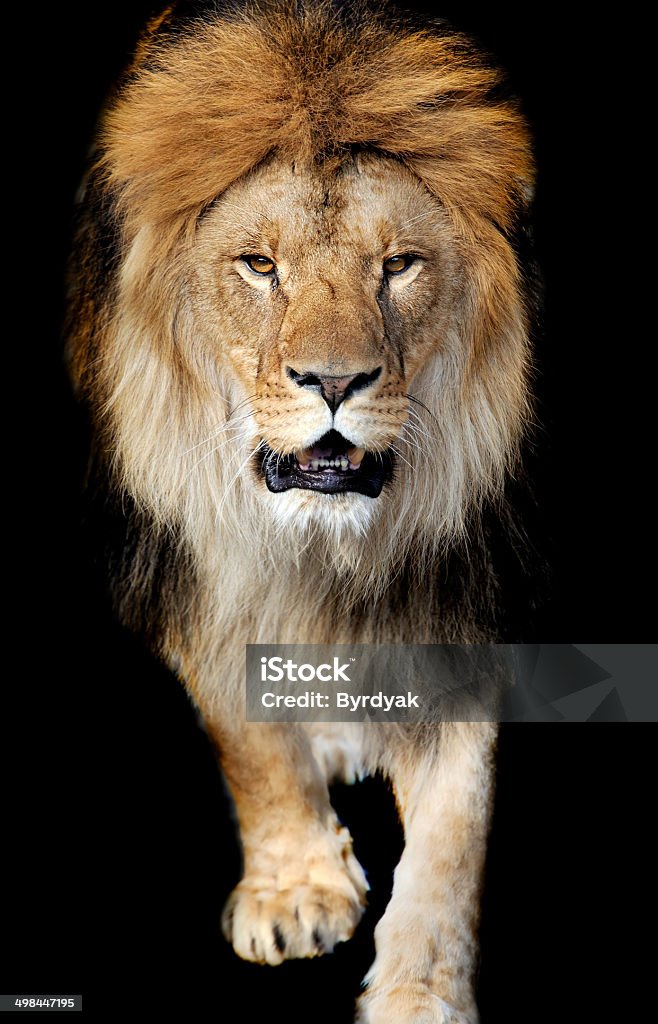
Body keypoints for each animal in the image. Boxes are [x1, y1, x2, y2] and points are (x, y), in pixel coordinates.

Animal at [67, 4, 536, 1019]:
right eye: (258, 265)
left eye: (398, 265)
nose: (333, 380)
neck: (323, 546)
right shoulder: (199, 573)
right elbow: (247, 739)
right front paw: (296, 891)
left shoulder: (462, 602)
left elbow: (455, 829)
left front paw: (419, 994)